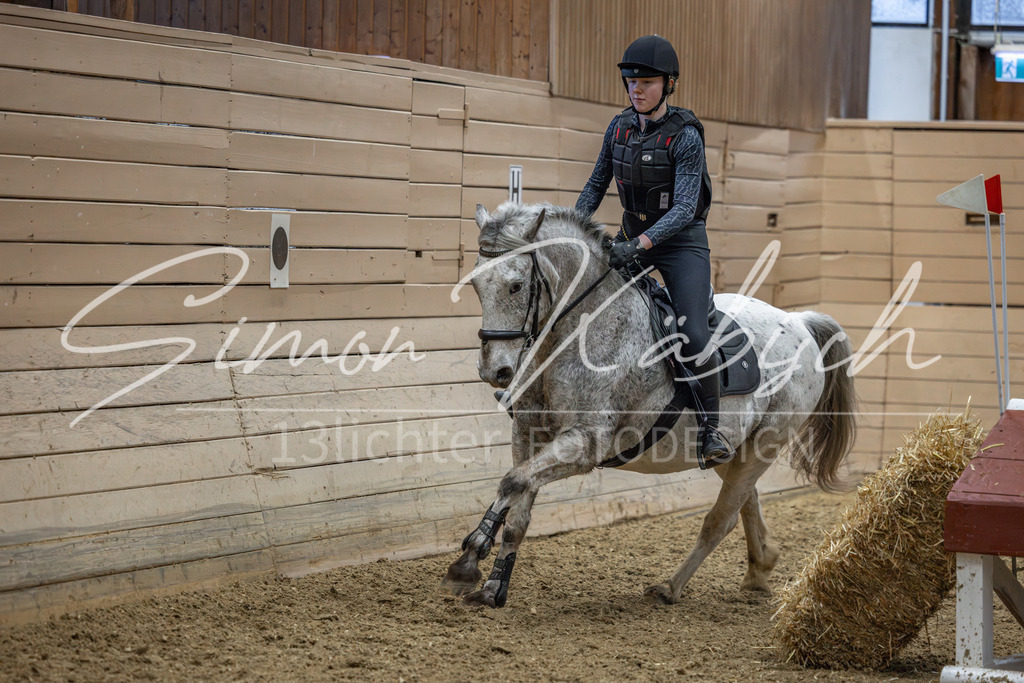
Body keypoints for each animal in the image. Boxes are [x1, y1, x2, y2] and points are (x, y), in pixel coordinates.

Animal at [443, 201, 857, 608]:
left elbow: (513, 483)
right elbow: (517, 506)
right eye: (476, 284)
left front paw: (469, 559)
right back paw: (760, 569)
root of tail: (798, 321)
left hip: (764, 444)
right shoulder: (528, 433)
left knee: (720, 519)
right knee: (747, 500)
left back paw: (671, 587)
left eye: (516, 286)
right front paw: (492, 585)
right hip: (734, 451)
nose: (494, 370)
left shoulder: (584, 444)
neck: (582, 329)